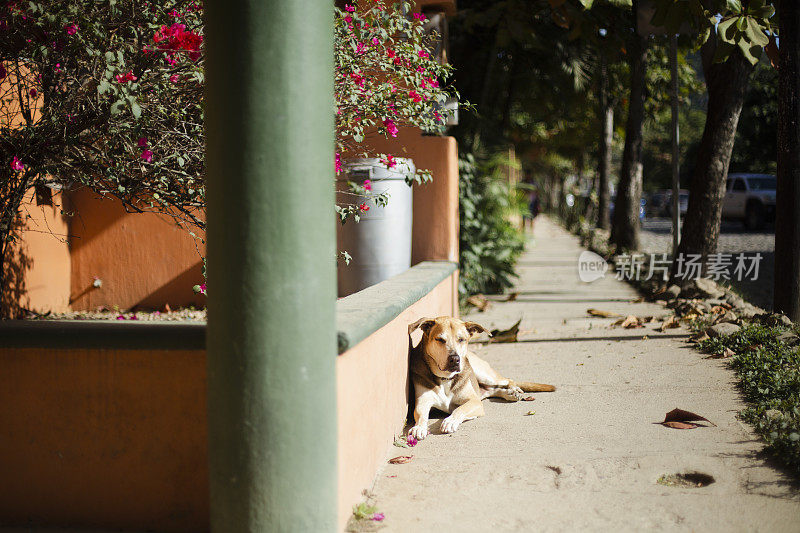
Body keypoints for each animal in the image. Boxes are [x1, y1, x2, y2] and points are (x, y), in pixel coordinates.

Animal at [410, 314, 552, 438]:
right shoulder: (422, 402)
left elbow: (460, 410)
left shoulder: (474, 401)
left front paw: (450, 421)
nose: (455, 359)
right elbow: (421, 415)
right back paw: (509, 393)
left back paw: (514, 390)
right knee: (492, 390)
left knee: (507, 380)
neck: (445, 378)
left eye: (461, 339)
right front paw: (419, 427)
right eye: (440, 339)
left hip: (484, 373)